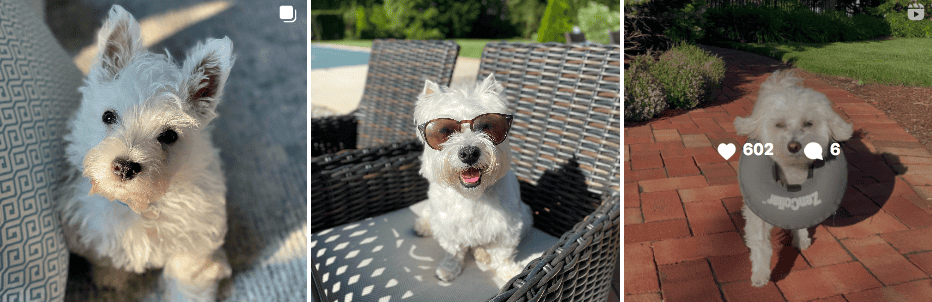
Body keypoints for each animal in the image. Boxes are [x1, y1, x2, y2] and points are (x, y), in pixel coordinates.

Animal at [59, 5, 233, 302]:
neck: (139, 204)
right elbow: (107, 255)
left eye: (169, 135)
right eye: (108, 116)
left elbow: (188, 280)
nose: (125, 167)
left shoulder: (192, 243)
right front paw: (111, 278)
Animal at [414, 74, 536, 282]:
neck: (472, 196)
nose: (469, 153)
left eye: (487, 126)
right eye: (443, 131)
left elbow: (503, 254)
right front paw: (447, 270)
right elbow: (452, 250)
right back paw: (422, 226)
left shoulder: (507, 227)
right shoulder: (449, 226)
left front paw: (509, 272)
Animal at [736, 69, 852, 286]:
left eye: (808, 123)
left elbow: (801, 217)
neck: (792, 171)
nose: (794, 145)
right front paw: (760, 273)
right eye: (779, 125)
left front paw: (801, 238)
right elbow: (760, 242)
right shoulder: (756, 210)